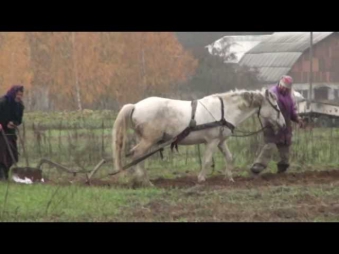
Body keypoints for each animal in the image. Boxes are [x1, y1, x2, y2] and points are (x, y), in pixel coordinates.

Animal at [112, 89, 286, 187]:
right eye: (277, 107)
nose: (284, 124)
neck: (225, 110)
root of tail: (135, 106)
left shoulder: (221, 141)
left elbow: (229, 157)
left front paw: (229, 178)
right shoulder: (212, 141)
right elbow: (207, 160)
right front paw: (201, 178)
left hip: (150, 141)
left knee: (139, 157)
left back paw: (141, 179)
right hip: (149, 140)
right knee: (137, 154)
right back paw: (145, 181)